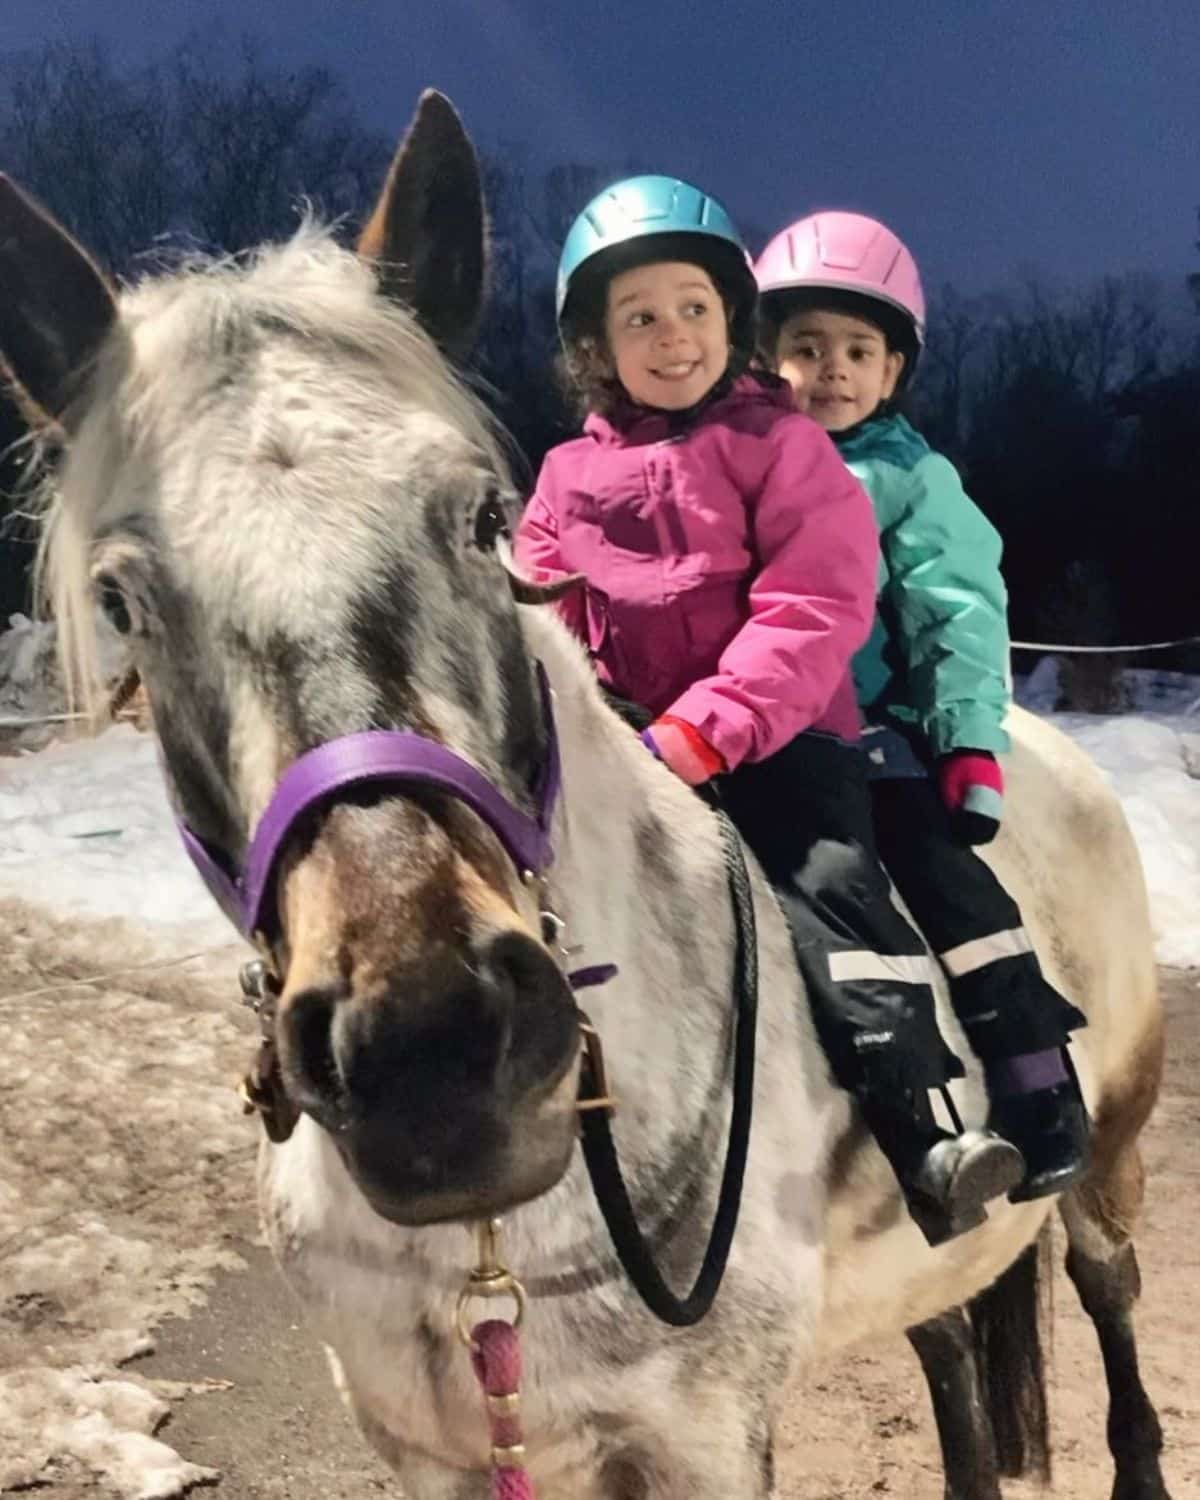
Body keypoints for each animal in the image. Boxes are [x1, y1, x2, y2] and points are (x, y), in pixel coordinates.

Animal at [0, 90, 1170, 1500]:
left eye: (481, 517)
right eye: (123, 598)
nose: (434, 1053)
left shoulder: (699, 1440)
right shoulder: (438, 1453)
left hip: (1106, 1163)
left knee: (1110, 1305)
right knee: (947, 1342)